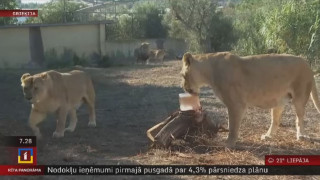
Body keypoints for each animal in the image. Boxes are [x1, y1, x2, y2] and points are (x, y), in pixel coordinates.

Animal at [181, 51, 320, 147]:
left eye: (183, 75)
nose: (183, 87)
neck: (209, 71)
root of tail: (308, 65)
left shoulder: (236, 104)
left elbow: (232, 126)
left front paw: (229, 144)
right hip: (279, 100)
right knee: (276, 120)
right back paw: (267, 136)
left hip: (299, 97)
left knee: (299, 119)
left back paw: (301, 135)